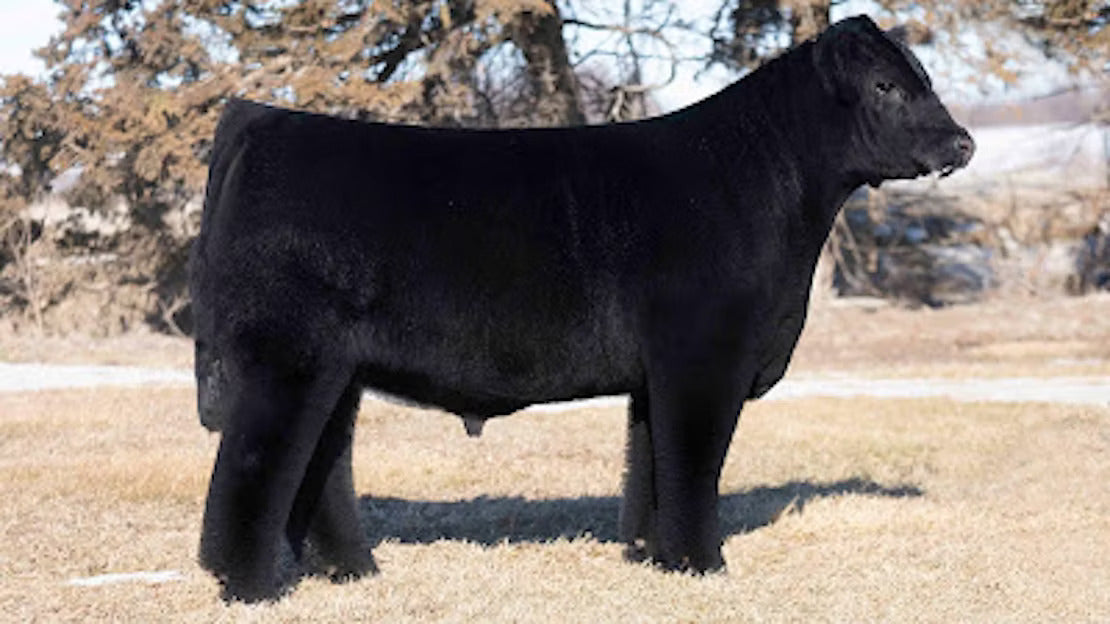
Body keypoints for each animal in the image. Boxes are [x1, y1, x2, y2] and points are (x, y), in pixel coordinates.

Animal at [190, 15, 973, 602]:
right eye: (885, 86)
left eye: (925, 80)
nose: (962, 142)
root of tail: (262, 120)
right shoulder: (704, 358)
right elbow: (695, 462)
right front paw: (704, 565)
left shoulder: (660, 374)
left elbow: (651, 463)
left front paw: (654, 557)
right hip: (284, 356)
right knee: (254, 465)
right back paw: (250, 587)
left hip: (336, 367)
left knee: (321, 463)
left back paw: (354, 573)